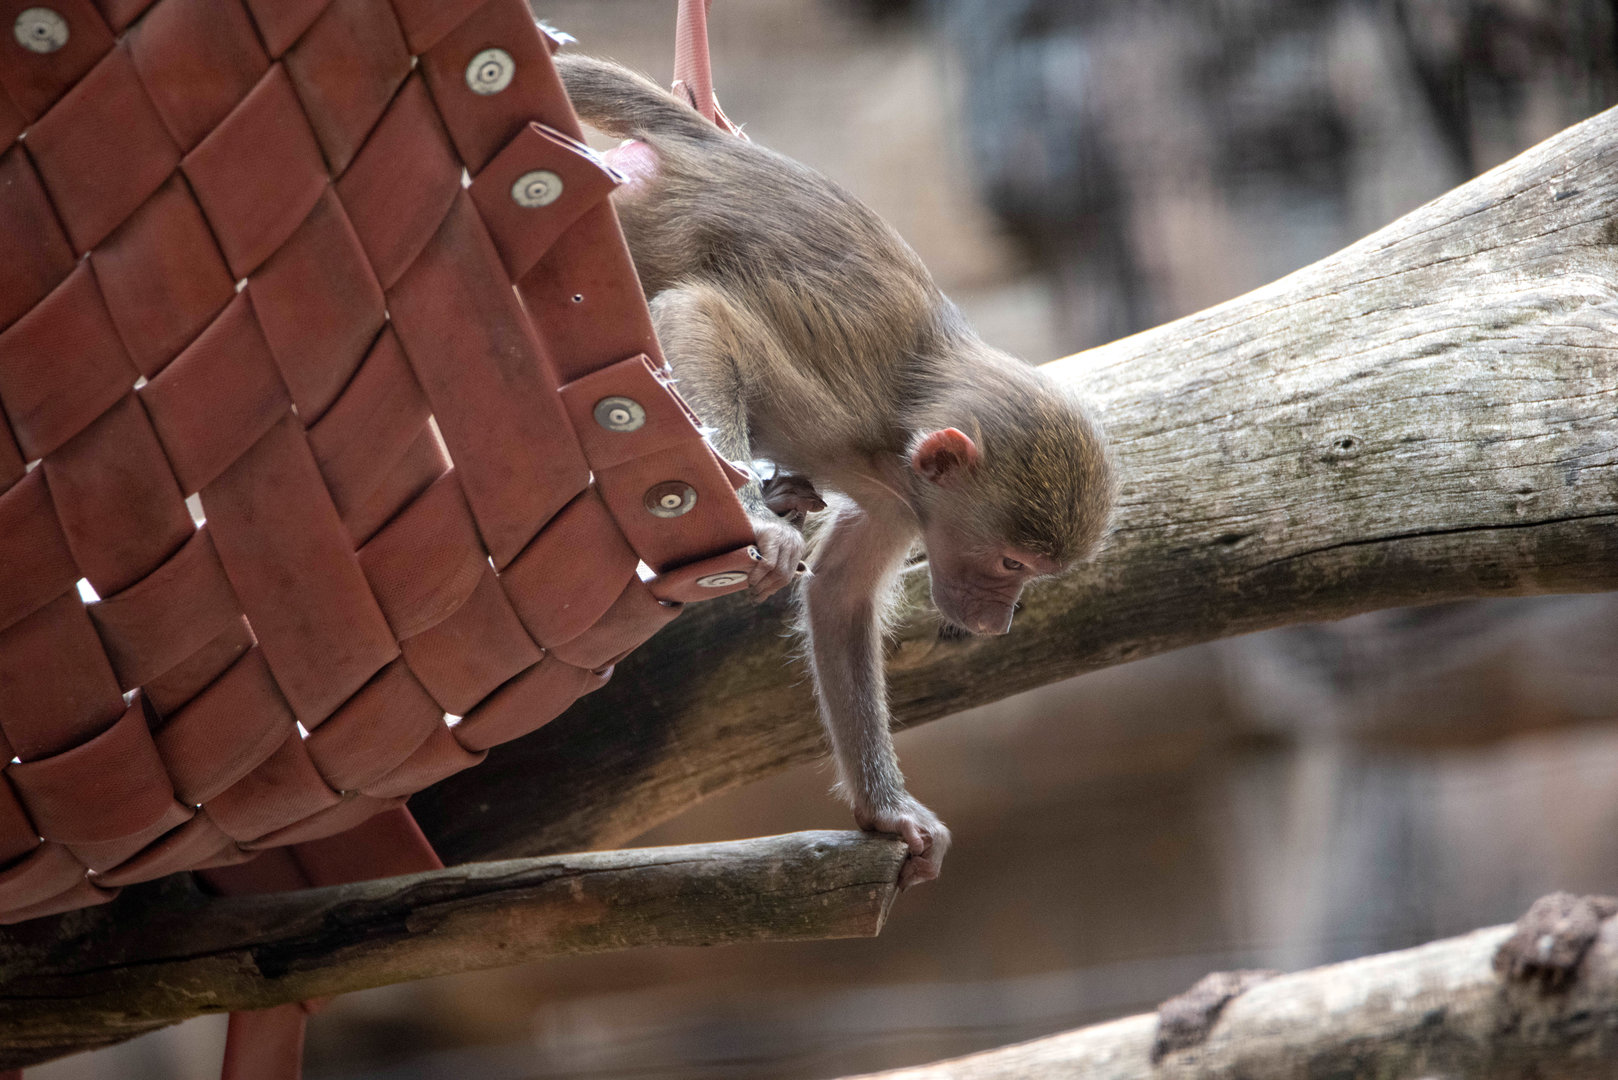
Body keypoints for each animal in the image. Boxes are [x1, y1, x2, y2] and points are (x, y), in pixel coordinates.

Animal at [556, 54, 1116, 887]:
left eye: (1034, 573)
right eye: (1012, 562)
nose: (996, 621)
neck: (898, 445)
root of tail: (716, 151)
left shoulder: (902, 507)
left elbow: (841, 598)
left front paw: (886, 810)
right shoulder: (839, 412)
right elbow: (701, 317)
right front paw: (754, 518)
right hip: (627, 213)